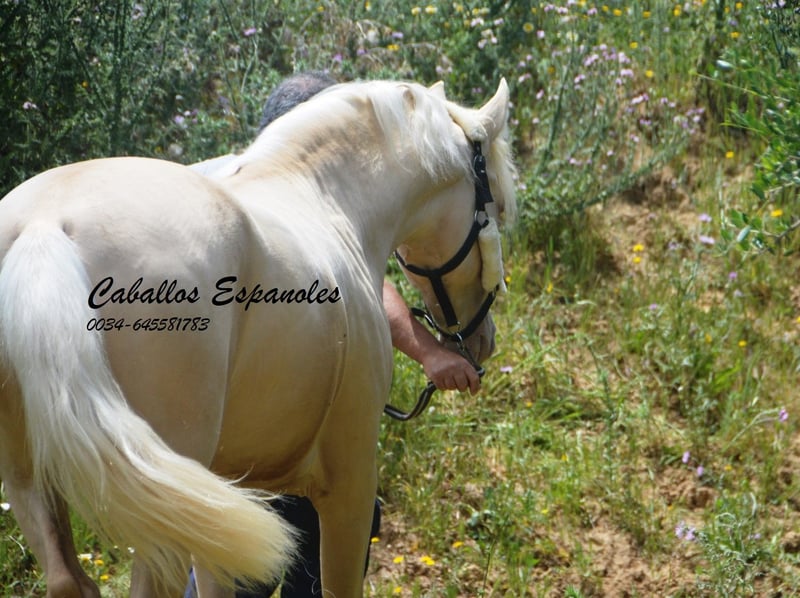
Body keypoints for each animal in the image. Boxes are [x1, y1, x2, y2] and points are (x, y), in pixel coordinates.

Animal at [0, 78, 516, 597]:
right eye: (496, 206)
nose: (482, 341)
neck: (325, 199)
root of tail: (44, 227)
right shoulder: (348, 484)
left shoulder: (229, 499)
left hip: (40, 484)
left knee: (68, 580)